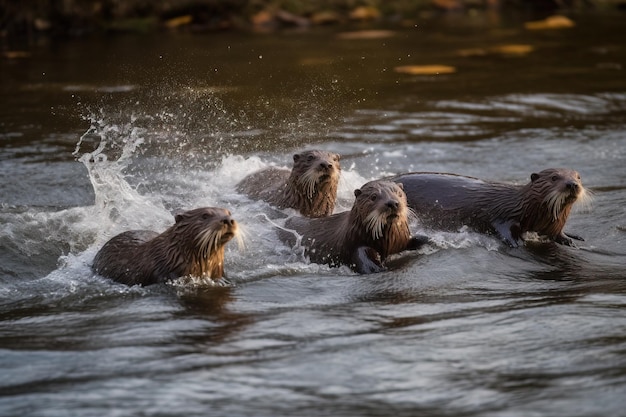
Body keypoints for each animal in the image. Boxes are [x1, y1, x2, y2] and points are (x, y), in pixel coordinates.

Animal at [280, 179, 428, 272]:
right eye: (373, 197)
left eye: (398, 193)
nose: (392, 203)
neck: (388, 243)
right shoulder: (356, 247)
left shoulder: (402, 239)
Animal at [388, 168, 588, 247]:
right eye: (554, 178)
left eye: (578, 176)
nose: (572, 184)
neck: (527, 208)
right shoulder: (504, 216)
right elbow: (504, 228)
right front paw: (517, 242)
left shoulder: (552, 224)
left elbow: (556, 233)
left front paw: (570, 238)